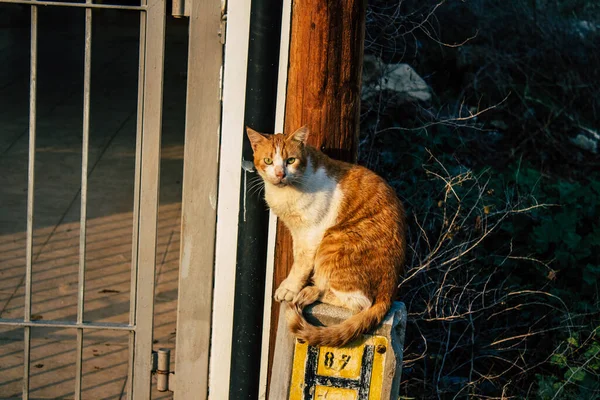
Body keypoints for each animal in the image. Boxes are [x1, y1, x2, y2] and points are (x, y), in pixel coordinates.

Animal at [246, 125, 406, 346]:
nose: (280, 173)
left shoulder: (311, 234)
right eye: (268, 161)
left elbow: (301, 264)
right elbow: (298, 257)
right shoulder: (297, 233)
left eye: (290, 160)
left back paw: (311, 291)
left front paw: (290, 288)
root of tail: (390, 291)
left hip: (333, 241)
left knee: (361, 303)